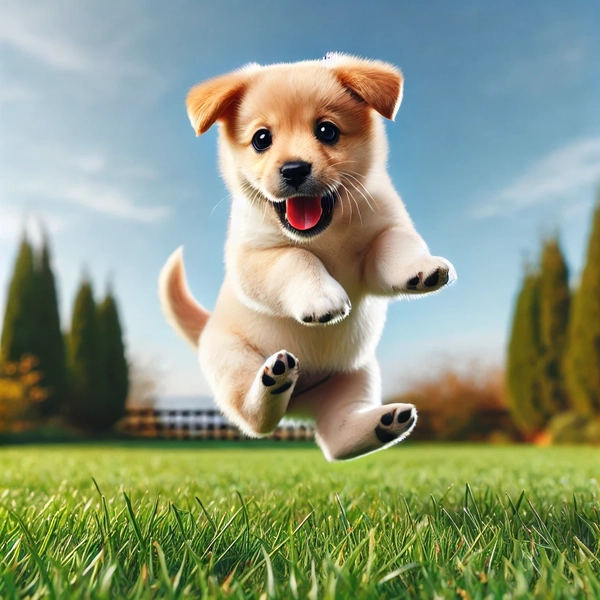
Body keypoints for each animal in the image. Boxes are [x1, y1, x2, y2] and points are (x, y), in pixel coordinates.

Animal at [157, 55, 458, 460]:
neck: (326, 235)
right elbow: (297, 259)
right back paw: (275, 381)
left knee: (336, 440)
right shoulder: (254, 260)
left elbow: (397, 245)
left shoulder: (378, 239)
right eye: (261, 139)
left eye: (327, 131)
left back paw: (383, 424)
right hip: (232, 360)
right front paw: (321, 297)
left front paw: (420, 268)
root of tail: (300, 401)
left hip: (358, 374)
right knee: (256, 418)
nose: (294, 169)